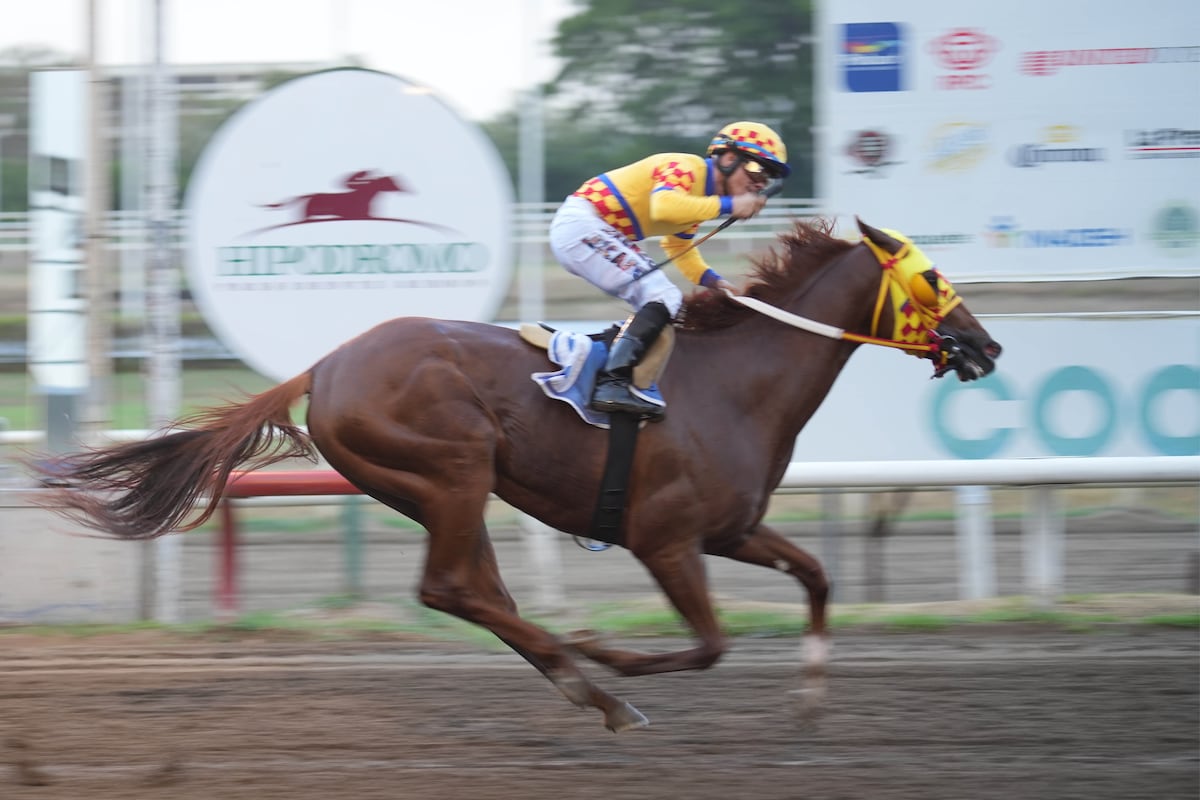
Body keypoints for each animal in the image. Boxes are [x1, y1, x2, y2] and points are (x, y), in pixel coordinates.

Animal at [35, 217, 1003, 734]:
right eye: (933, 277)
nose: (987, 346)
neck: (735, 382)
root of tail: (325, 365)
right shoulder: (666, 540)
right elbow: (710, 644)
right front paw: (612, 649)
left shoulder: (732, 529)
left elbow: (817, 575)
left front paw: (808, 701)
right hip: (454, 467)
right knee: (448, 588)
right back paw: (589, 676)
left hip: (438, 489)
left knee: (475, 590)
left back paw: (585, 687)